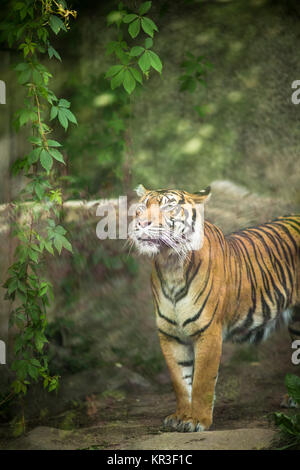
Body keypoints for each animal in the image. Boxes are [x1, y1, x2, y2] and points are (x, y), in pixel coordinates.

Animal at [129, 185, 300, 434]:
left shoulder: (208, 331)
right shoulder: (169, 335)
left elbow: (202, 380)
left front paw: (197, 420)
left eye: (168, 206)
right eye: (141, 207)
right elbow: (180, 381)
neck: (170, 265)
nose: (141, 223)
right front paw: (181, 416)